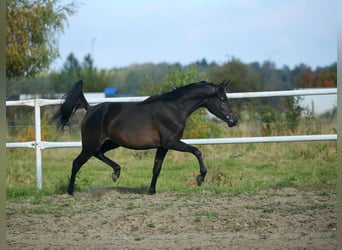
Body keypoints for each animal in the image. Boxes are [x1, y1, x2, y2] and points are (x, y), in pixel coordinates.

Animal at [52, 79, 236, 194]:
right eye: (222, 98)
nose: (233, 120)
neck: (174, 109)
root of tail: (90, 109)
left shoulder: (163, 146)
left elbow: (157, 168)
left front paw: (152, 191)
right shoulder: (171, 142)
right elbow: (197, 151)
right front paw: (200, 178)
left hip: (111, 142)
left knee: (99, 154)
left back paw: (116, 173)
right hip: (90, 144)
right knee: (77, 163)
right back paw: (70, 192)